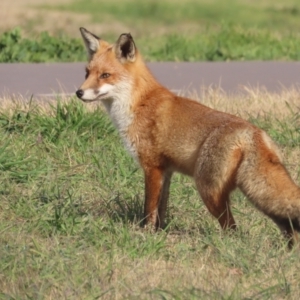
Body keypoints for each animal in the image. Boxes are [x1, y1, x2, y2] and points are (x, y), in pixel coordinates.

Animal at [77, 27, 300, 248]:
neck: (139, 103)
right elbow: (161, 210)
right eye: (87, 73)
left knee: (233, 228)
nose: (79, 92)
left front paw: (146, 235)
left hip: (208, 191)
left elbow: (149, 209)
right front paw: (159, 233)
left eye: (105, 75)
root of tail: (253, 133)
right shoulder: (166, 171)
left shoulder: (152, 167)